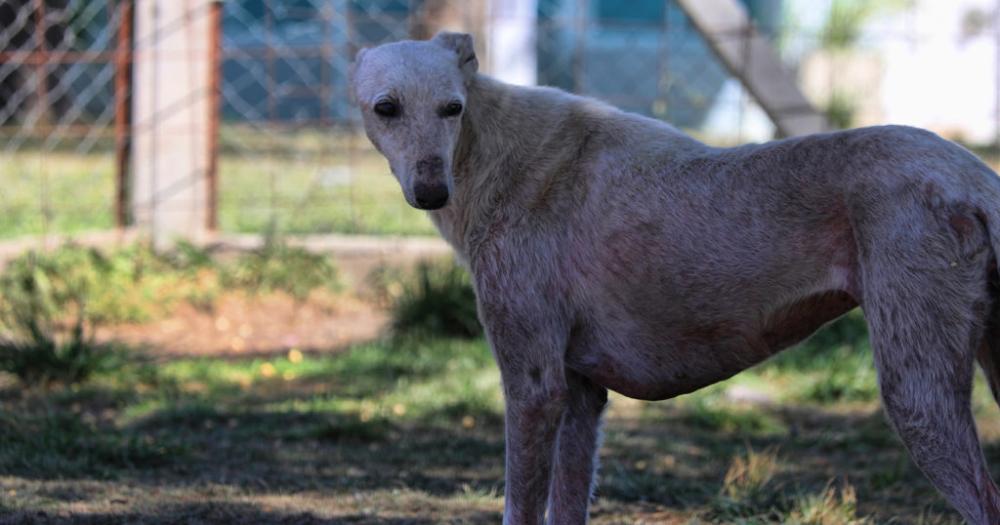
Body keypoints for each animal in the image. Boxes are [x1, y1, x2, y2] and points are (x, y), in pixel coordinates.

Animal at [354, 32, 1000, 524]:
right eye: (386, 108)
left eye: (452, 108)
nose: (432, 191)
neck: (497, 154)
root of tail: (976, 175)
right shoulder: (581, 396)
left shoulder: (535, 386)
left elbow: (520, 504)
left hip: (916, 396)